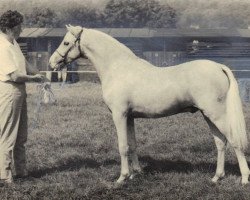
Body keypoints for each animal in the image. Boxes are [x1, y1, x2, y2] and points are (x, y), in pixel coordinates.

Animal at [49, 25, 250, 184]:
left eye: (66, 43)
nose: (52, 63)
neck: (118, 68)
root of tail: (218, 66)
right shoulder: (129, 117)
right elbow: (132, 144)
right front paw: (135, 173)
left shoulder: (119, 115)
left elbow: (123, 146)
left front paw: (122, 177)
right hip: (207, 115)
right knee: (220, 143)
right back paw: (217, 177)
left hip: (217, 114)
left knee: (234, 141)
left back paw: (244, 178)